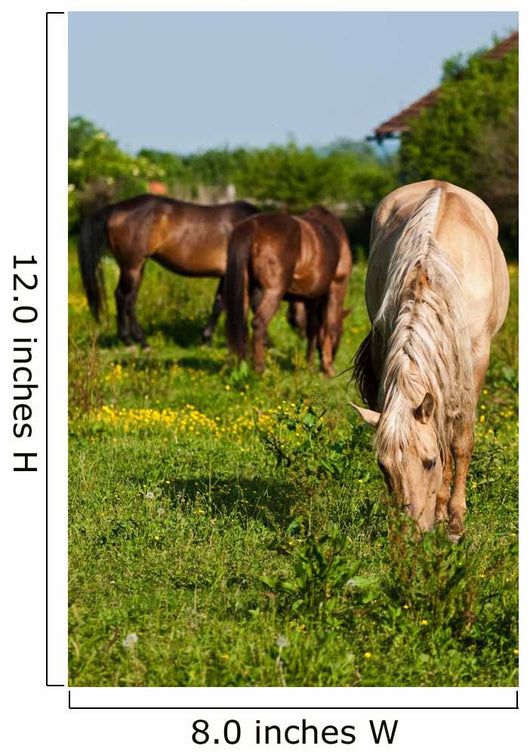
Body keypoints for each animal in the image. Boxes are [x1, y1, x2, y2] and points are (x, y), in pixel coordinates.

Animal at [78, 194, 259, 347]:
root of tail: (116, 208)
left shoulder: (226, 275)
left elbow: (221, 303)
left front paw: (207, 339)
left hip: (137, 268)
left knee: (127, 298)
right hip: (132, 266)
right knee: (124, 298)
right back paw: (137, 341)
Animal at [224, 205, 352, 376]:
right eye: (342, 332)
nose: (334, 354)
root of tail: (252, 226)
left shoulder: (311, 297)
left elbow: (312, 328)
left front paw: (310, 366)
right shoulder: (337, 286)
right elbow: (329, 326)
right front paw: (328, 368)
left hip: (245, 289)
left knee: (240, 325)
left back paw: (241, 365)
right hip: (274, 291)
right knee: (259, 323)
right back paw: (260, 369)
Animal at [351, 180, 510, 541]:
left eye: (429, 462)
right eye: (383, 467)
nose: (410, 535)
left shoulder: (476, 357)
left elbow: (460, 440)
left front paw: (454, 523)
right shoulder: (385, 343)